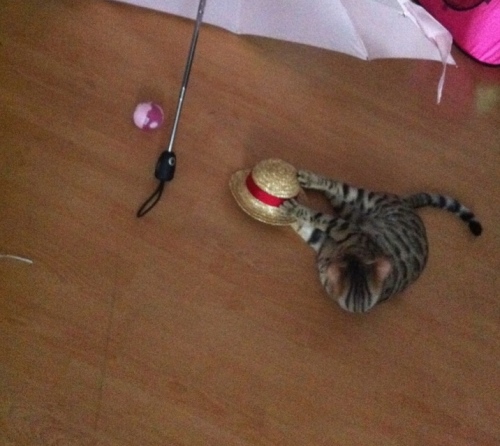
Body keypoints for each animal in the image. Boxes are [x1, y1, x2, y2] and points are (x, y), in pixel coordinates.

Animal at [280, 170, 482, 313]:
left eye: (343, 261)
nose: (329, 262)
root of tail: (410, 206)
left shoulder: (338, 233)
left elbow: (317, 217)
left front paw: (292, 208)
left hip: (365, 205)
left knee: (339, 192)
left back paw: (311, 184)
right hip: (365, 205)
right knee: (337, 190)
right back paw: (310, 181)